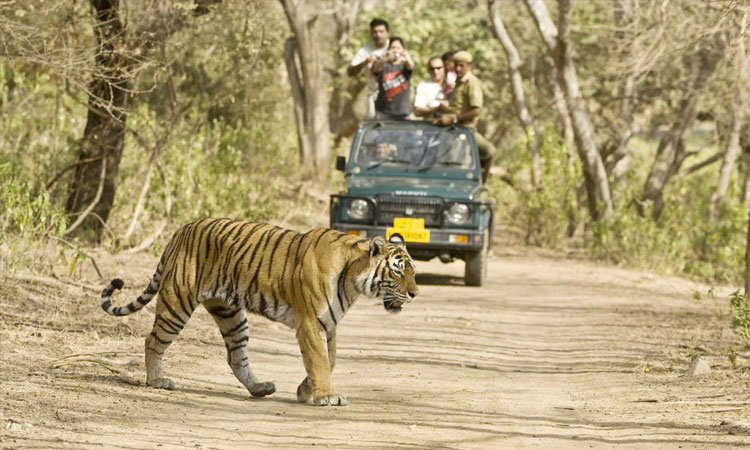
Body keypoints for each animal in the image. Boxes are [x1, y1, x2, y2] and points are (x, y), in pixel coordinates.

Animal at [99, 219, 418, 408]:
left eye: (414, 271)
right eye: (398, 271)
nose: (416, 294)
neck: (353, 279)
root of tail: (181, 229)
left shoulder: (329, 324)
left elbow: (329, 360)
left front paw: (306, 390)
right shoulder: (311, 322)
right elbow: (319, 360)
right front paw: (326, 395)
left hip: (231, 315)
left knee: (236, 357)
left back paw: (259, 388)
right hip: (178, 303)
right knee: (153, 340)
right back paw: (158, 381)